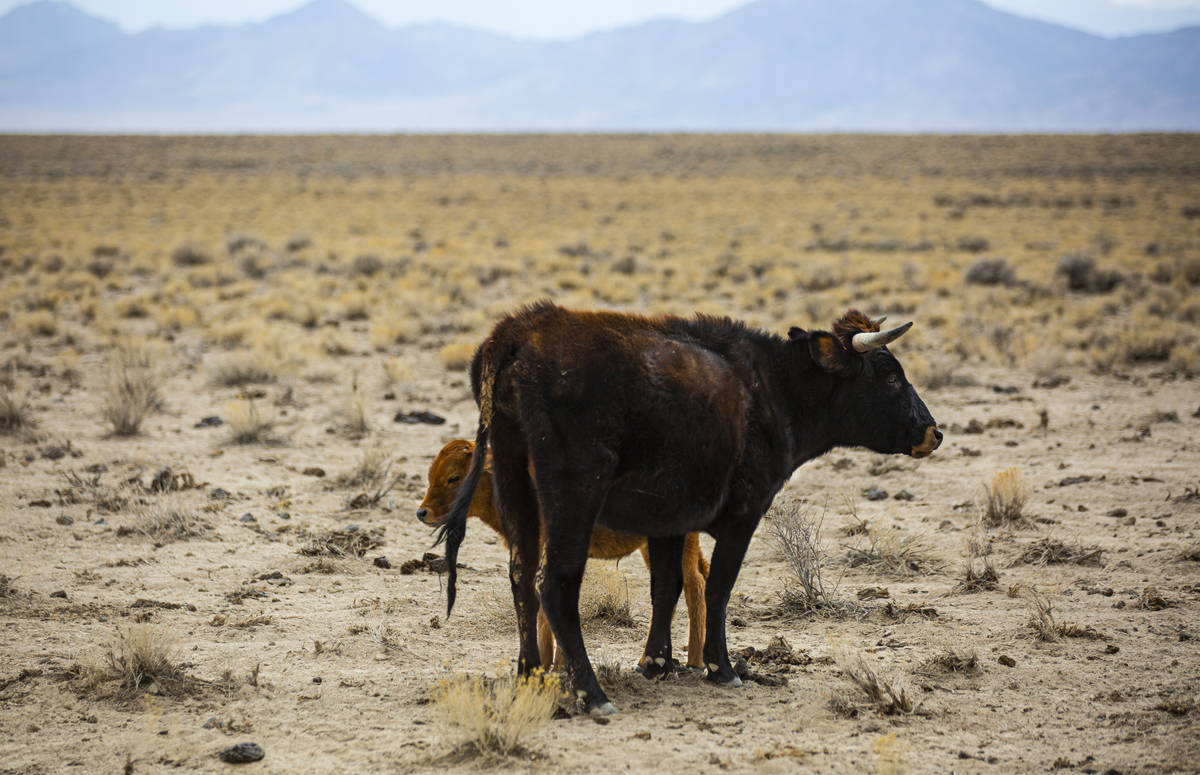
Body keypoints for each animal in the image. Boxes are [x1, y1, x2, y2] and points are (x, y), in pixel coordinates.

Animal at [417, 441, 705, 671]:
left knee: (693, 583)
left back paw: (691, 661)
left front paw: (553, 665)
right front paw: (546, 663)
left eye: (454, 477)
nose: (422, 512)